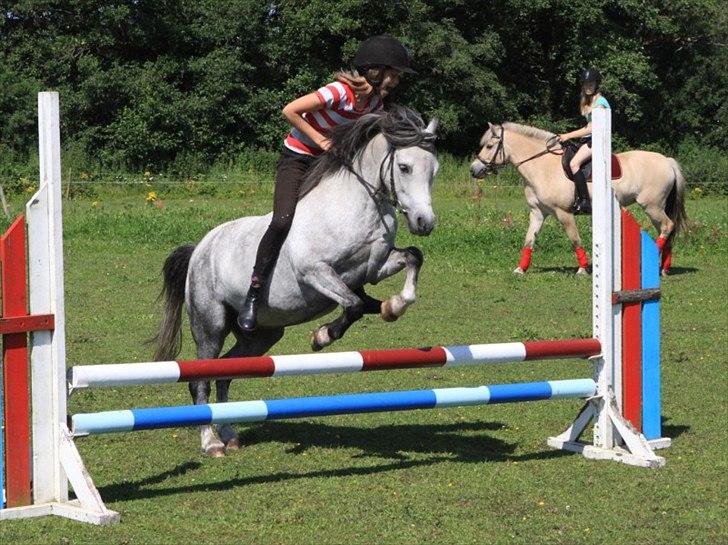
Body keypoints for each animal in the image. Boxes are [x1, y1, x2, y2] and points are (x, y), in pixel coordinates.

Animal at [153, 107, 440, 456]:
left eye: (434, 170)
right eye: (404, 167)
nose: (425, 222)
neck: (360, 206)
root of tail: (199, 249)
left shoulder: (374, 268)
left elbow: (412, 258)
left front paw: (394, 305)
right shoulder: (315, 271)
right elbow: (353, 305)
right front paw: (322, 336)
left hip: (262, 336)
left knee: (226, 374)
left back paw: (230, 433)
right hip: (210, 325)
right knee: (200, 378)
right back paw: (211, 442)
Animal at [469, 122, 687, 275]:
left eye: (489, 146)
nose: (473, 170)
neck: (542, 166)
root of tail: (667, 161)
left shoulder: (563, 213)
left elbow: (575, 239)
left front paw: (582, 269)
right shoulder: (538, 213)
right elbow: (529, 240)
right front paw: (520, 269)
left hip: (652, 206)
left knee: (667, 226)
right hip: (655, 208)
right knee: (666, 230)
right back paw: (663, 268)